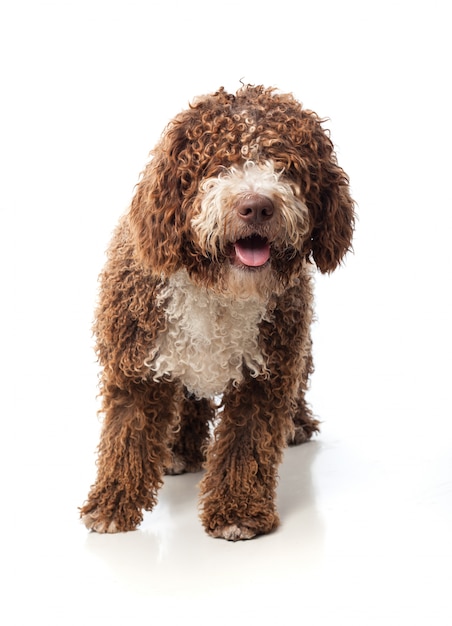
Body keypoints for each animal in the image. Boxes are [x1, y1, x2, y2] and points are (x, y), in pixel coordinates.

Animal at [82, 83, 356, 540]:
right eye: (217, 162)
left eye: (286, 165)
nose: (257, 206)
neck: (219, 286)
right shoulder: (136, 365)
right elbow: (127, 435)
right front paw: (112, 504)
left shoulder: (266, 373)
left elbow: (246, 443)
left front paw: (238, 511)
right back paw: (179, 450)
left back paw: (296, 423)